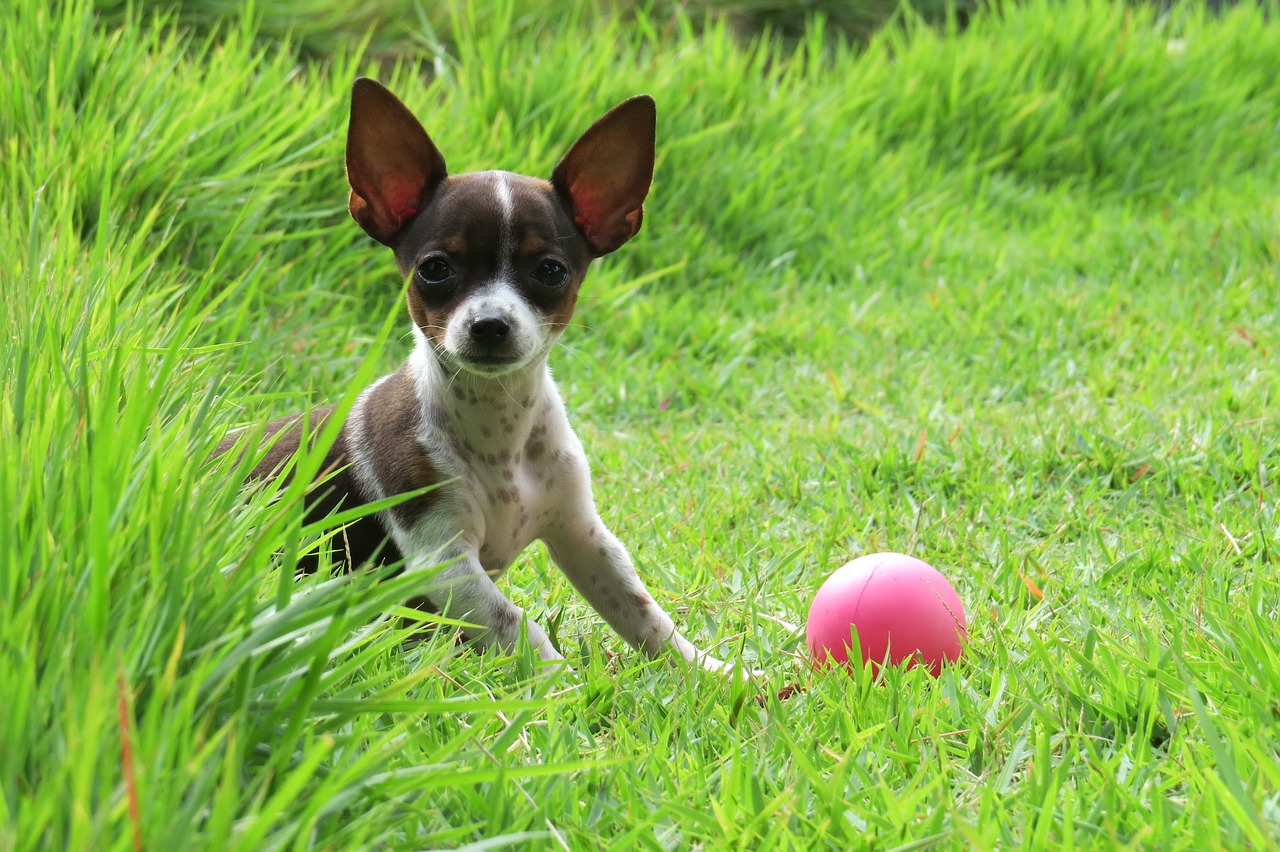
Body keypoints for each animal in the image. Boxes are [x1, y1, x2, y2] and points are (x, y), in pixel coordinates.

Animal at [220, 79, 742, 675]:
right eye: (435, 268)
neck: (499, 428)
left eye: (550, 271)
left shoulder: (585, 537)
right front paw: (569, 688)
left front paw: (716, 674)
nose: (490, 324)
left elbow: (644, 614)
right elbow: (519, 626)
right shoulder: (445, 563)